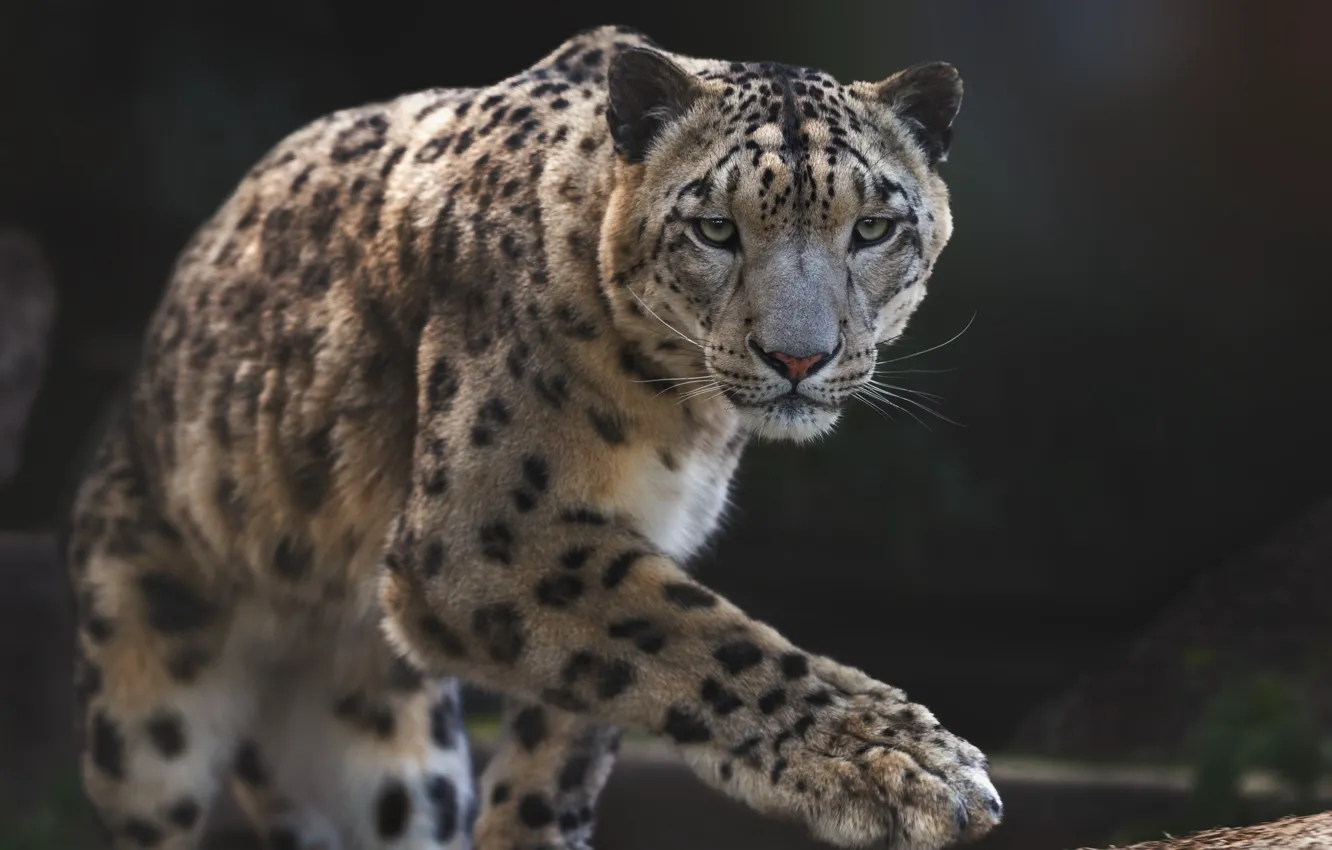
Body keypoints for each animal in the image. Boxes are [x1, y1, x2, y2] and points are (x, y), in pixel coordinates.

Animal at [65, 24, 1001, 850]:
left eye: (873, 228)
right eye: (716, 228)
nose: (799, 356)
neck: (688, 424)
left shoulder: (627, 540)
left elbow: (577, 736)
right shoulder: (486, 530)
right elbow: (705, 642)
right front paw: (910, 767)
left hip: (400, 770)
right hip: (147, 712)